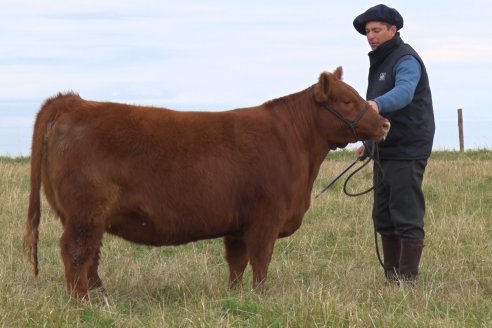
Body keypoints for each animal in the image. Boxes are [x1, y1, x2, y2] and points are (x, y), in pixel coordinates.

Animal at [25, 68, 388, 298]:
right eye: (347, 101)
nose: (384, 123)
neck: (294, 141)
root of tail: (74, 102)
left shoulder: (238, 224)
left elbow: (237, 263)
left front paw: (235, 296)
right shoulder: (265, 219)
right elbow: (261, 261)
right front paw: (261, 296)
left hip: (88, 216)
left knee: (90, 255)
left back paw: (101, 297)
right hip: (85, 214)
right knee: (76, 252)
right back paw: (82, 303)